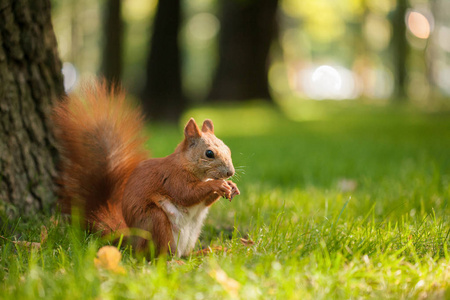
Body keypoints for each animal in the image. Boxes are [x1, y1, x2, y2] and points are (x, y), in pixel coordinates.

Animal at [53, 81, 239, 256]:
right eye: (209, 153)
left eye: (228, 149)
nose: (230, 173)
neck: (186, 165)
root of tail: (133, 244)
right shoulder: (172, 177)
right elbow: (186, 194)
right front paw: (217, 185)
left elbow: (205, 201)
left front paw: (231, 187)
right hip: (155, 221)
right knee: (161, 255)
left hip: (191, 233)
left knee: (185, 254)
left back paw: (206, 251)